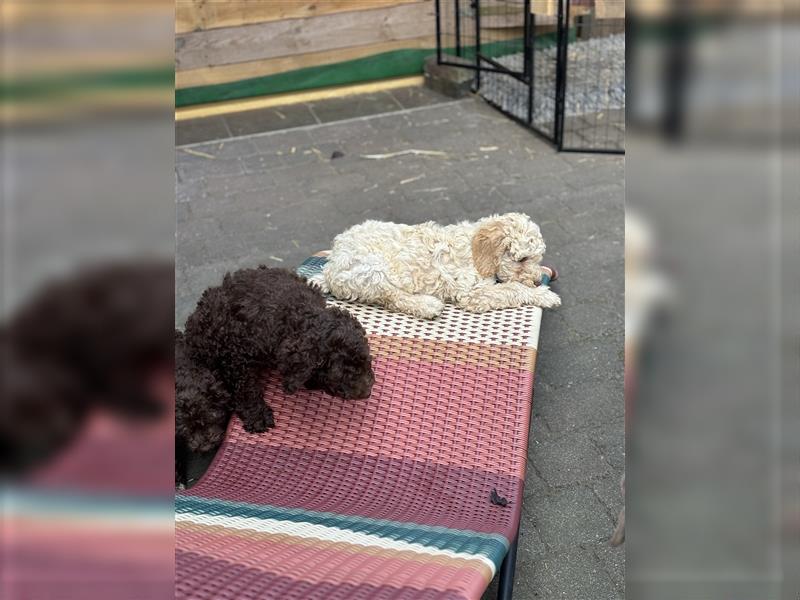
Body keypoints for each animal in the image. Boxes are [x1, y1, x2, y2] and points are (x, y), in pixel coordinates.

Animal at [181, 266, 376, 436]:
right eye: (341, 374)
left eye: (367, 361)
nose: (368, 392)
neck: (295, 316)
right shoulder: (236, 356)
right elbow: (247, 389)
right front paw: (257, 415)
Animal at [310, 213, 560, 322]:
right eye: (522, 258)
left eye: (537, 257)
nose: (537, 280)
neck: (473, 249)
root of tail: (330, 266)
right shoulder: (471, 292)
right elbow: (512, 289)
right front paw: (543, 295)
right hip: (370, 268)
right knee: (390, 296)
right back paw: (426, 305)